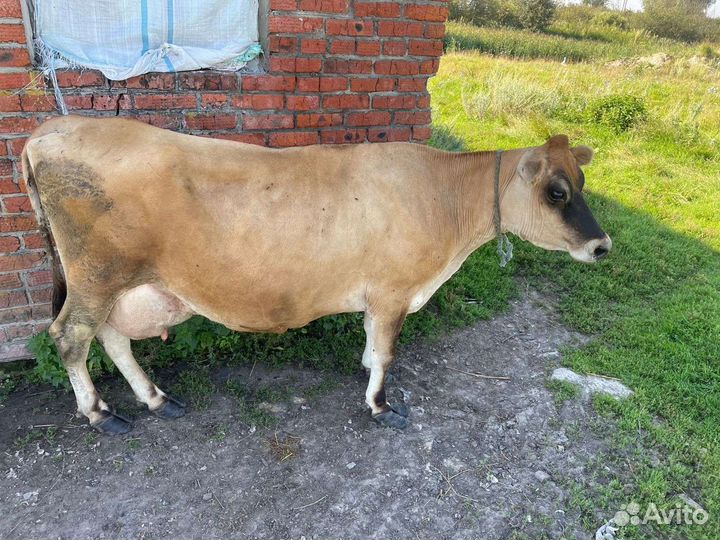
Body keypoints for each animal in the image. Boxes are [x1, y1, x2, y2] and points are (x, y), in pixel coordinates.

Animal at [22, 116, 611, 435]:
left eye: (581, 181)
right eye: (557, 191)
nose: (602, 246)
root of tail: (51, 130)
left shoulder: (377, 295)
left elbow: (372, 342)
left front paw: (366, 369)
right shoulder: (394, 291)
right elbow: (388, 352)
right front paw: (380, 404)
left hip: (117, 283)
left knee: (113, 339)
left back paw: (156, 399)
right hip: (98, 274)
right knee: (71, 337)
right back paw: (100, 414)